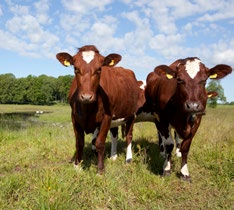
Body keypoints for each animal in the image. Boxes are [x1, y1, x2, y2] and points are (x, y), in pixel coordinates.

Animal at [56, 45, 144, 173]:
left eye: (99, 69)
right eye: (76, 69)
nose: (86, 96)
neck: (87, 109)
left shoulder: (106, 117)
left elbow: (99, 142)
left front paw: (100, 170)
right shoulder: (74, 117)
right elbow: (79, 143)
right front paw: (77, 166)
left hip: (131, 115)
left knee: (129, 136)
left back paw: (128, 159)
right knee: (114, 135)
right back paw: (113, 156)